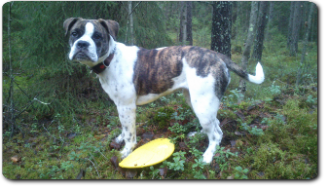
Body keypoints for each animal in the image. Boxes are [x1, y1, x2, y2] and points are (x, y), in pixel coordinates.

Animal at [63, 17, 264, 164]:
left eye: (97, 36)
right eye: (74, 34)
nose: (82, 44)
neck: (111, 59)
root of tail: (217, 55)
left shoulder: (127, 107)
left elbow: (130, 134)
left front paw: (126, 151)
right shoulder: (120, 107)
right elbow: (124, 128)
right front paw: (120, 138)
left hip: (203, 104)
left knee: (217, 133)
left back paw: (208, 156)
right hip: (197, 102)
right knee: (216, 124)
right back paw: (198, 135)